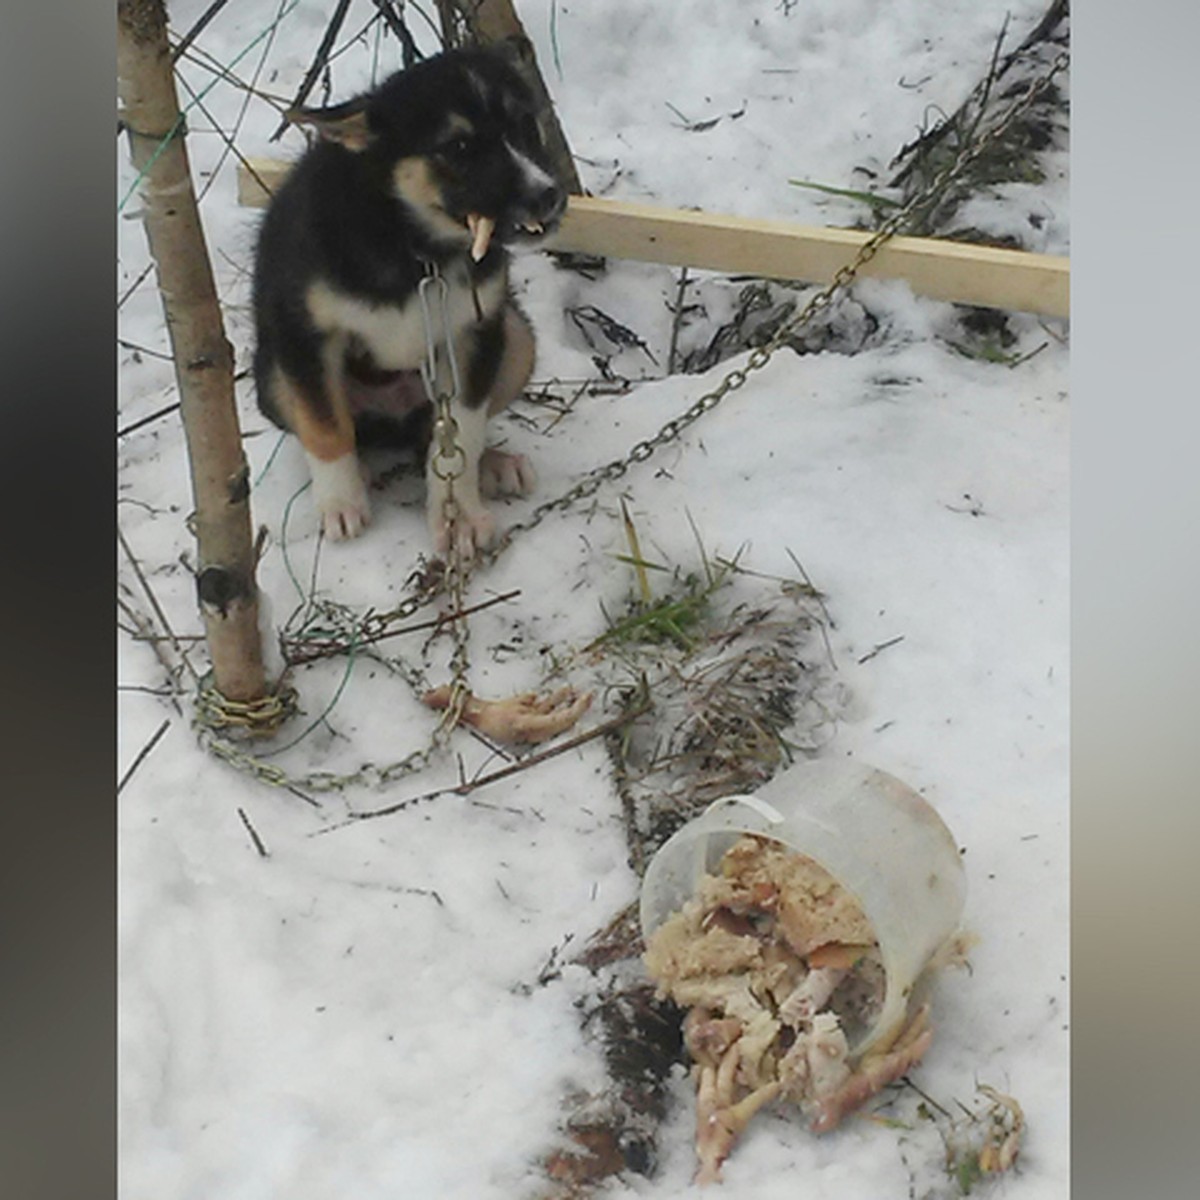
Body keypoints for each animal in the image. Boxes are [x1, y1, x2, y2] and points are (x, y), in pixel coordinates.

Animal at [253, 46, 561, 552]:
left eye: (525, 124)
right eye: (459, 147)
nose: (549, 196)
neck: (416, 249)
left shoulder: (476, 334)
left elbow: (462, 433)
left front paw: (461, 517)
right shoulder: (304, 333)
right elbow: (324, 427)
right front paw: (341, 504)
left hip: (518, 339)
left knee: (430, 438)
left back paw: (493, 465)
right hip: (274, 375)